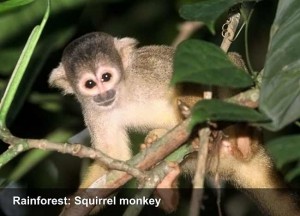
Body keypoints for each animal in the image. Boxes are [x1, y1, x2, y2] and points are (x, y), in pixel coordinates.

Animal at [49, 31, 300, 215]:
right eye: (90, 84)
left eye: (106, 77)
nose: (104, 94)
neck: (122, 92)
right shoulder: (92, 111)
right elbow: (114, 159)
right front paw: (76, 201)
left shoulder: (146, 67)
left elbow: (194, 74)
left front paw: (195, 119)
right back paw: (165, 186)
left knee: (230, 64)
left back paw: (244, 138)